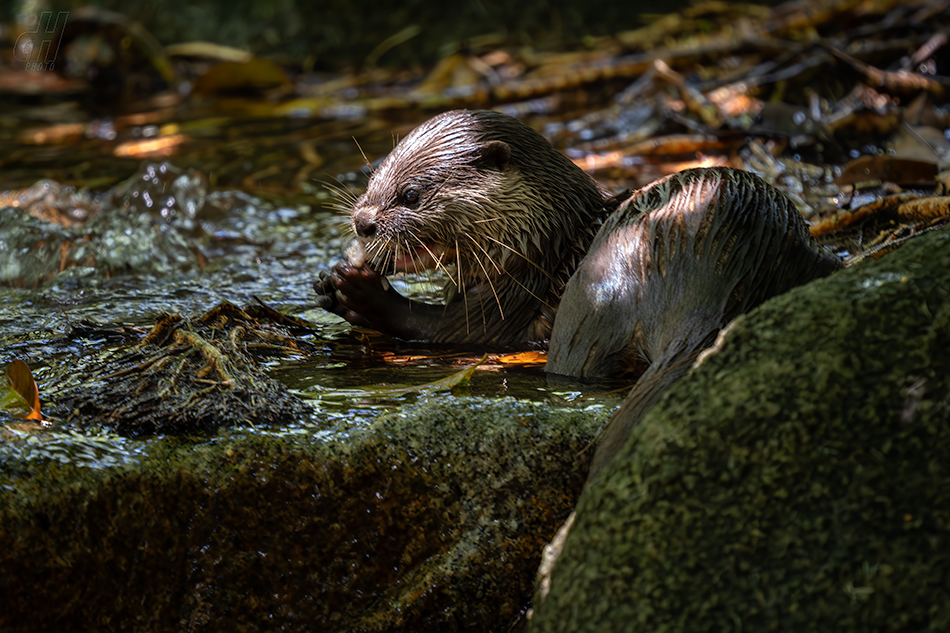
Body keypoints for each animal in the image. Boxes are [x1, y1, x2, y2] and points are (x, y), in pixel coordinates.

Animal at [308, 108, 612, 346]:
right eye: (371, 180)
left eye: (411, 195)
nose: (362, 222)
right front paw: (328, 284)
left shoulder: (516, 297)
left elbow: (452, 330)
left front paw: (359, 290)